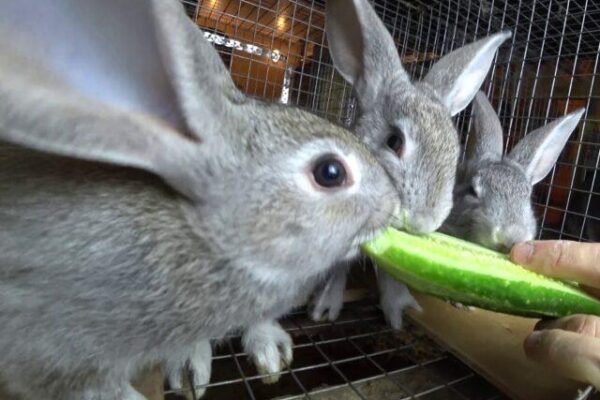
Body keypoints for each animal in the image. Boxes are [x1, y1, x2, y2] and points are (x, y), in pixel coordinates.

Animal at [0, 0, 400, 400]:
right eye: (330, 172)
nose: (393, 204)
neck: (209, 239)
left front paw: (270, 350)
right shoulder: (51, 353)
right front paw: (187, 366)